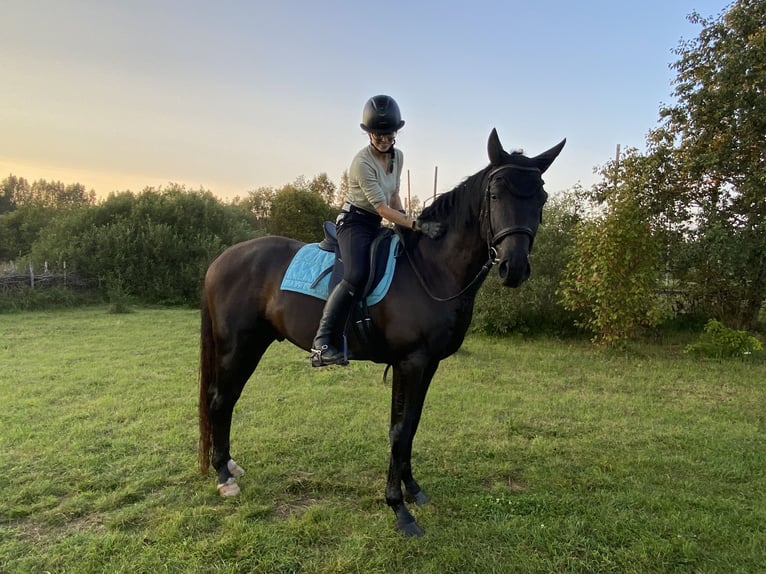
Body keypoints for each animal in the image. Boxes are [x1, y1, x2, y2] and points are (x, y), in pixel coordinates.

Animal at [201, 128, 568, 536]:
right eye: (495, 194)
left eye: (541, 196)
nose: (514, 267)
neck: (430, 269)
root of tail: (223, 259)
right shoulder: (410, 362)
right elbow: (399, 429)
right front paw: (399, 508)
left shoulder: (427, 364)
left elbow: (411, 425)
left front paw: (412, 489)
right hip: (238, 347)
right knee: (221, 400)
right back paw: (223, 476)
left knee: (227, 400)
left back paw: (229, 467)